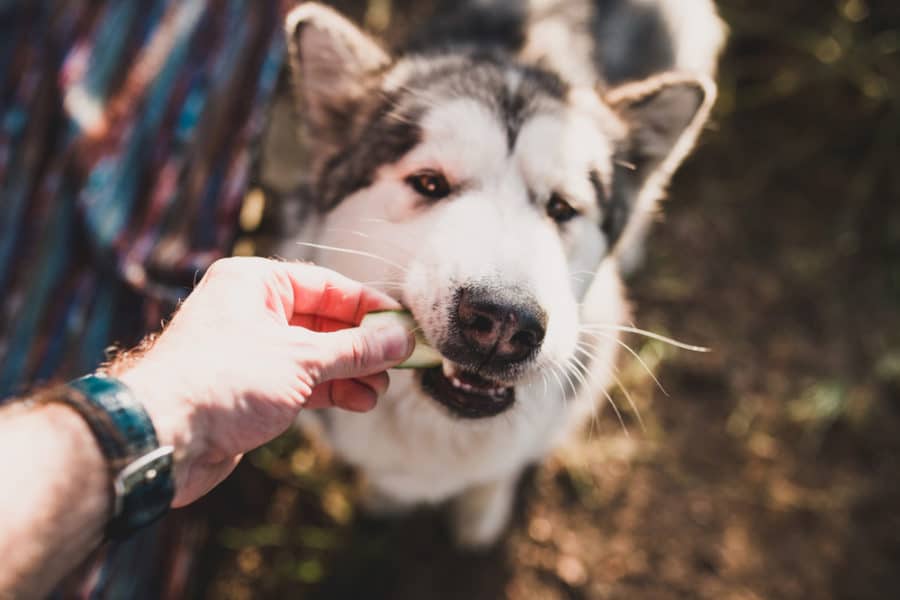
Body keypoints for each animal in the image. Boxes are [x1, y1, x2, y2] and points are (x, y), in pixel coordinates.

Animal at [264, 0, 728, 548]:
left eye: (561, 208)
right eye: (429, 183)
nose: (505, 321)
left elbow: (495, 477)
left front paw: (479, 518)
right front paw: (387, 500)